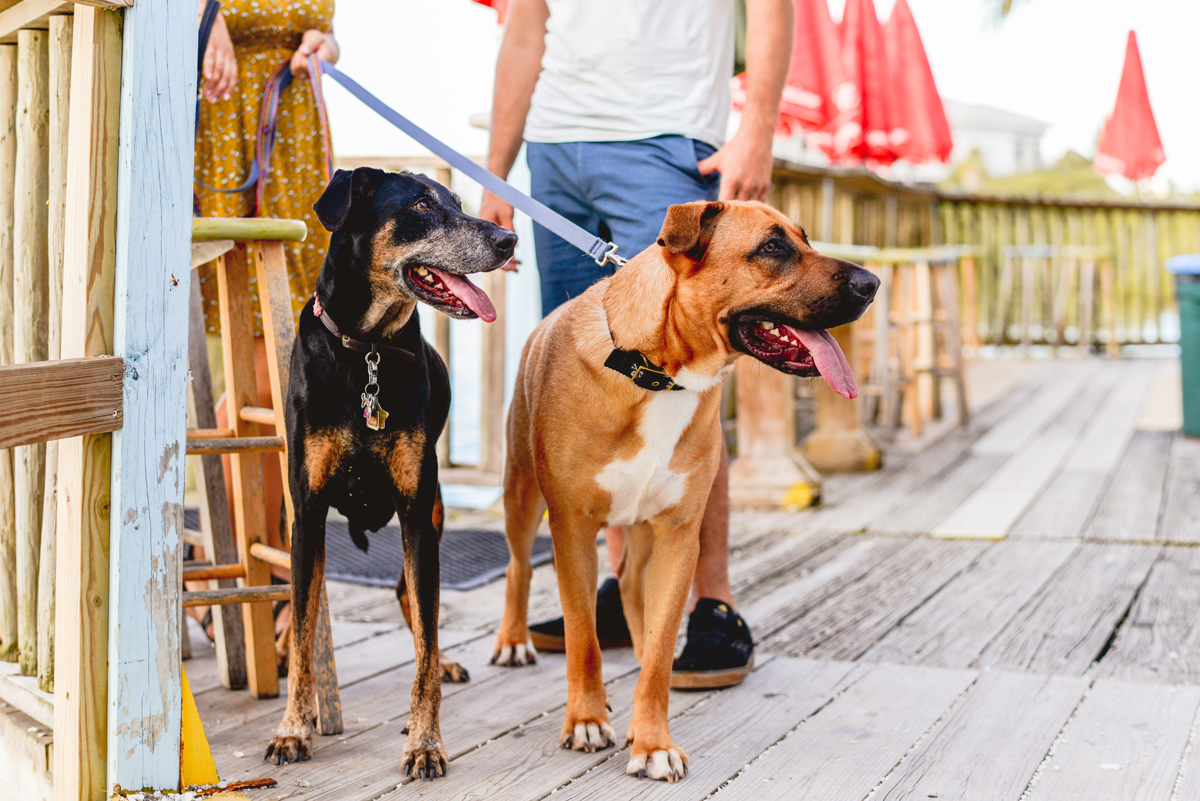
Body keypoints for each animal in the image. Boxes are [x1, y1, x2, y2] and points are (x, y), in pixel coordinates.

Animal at [265, 167, 513, 777]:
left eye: (459, 202)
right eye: (422, 205)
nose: (508, 240)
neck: (367, 349)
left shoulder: (416, 514)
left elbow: (424, 639)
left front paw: (424, 741)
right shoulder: (307, 515)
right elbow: (304, 633)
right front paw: (292, 729)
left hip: (436, 512)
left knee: (416, 606)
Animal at [492, 200, 878, 781]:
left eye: (804, 239)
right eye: (772, 247)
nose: (872, 282)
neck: (654, 372)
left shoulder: (677, 537)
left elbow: (657, 653)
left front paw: (651, 740)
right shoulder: (573, 530)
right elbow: (584, 639)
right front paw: (586, 718)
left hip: (640, 528)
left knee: (631, 588)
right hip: (522, 495)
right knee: (517, 565)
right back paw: (514, 641)